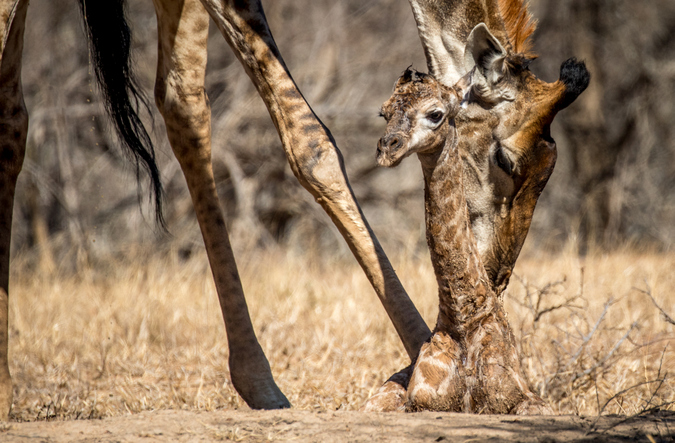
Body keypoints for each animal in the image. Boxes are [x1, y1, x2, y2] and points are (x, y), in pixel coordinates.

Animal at [368, 67, 552, 414]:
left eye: (435, 114)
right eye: (383, 112)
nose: (387, 148)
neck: (463, 319)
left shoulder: (520, 400)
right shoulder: (420, 404)